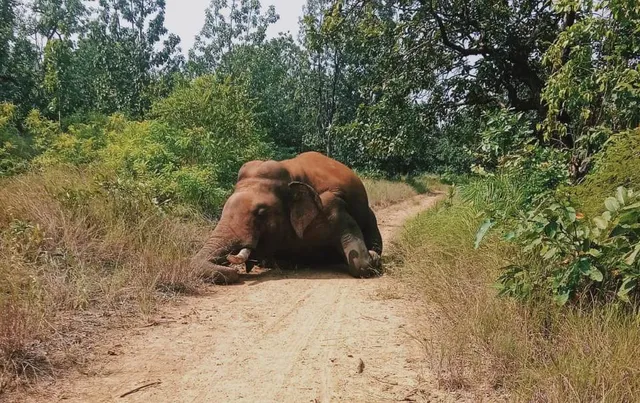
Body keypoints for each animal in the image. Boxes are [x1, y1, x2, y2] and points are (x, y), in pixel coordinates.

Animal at [190, 151, 383, 284]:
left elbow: (361, 263)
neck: (291, 177)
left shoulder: (332, 205)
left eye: (261, 213)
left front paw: (373, 257)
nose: (235, 273)